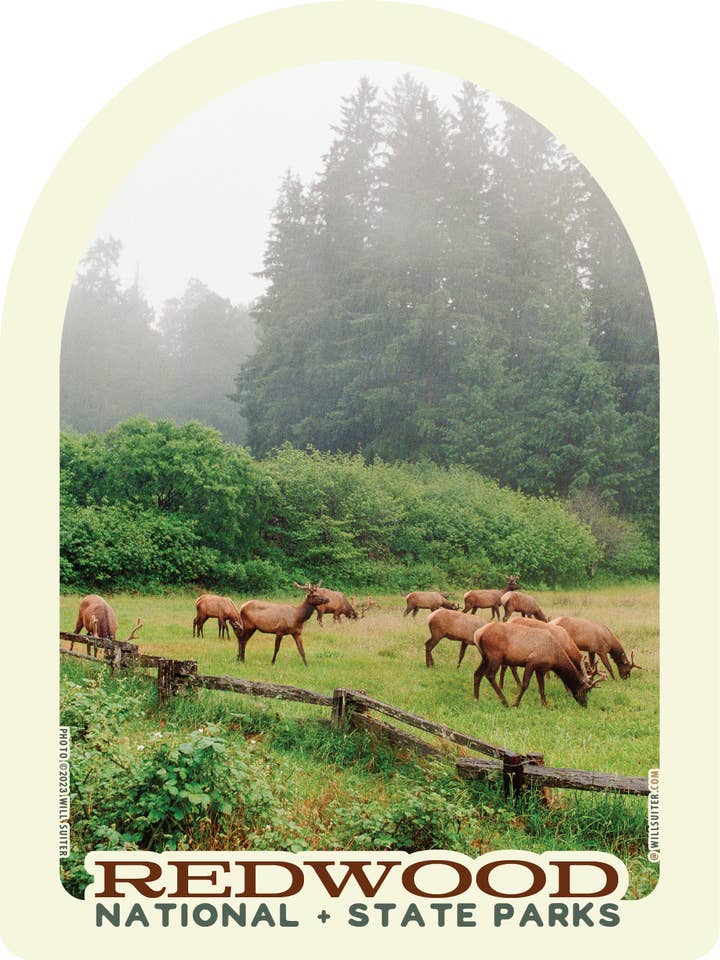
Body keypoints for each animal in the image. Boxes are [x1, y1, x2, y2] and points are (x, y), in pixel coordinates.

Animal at [472, 620, 606, 708]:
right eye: (584, 690)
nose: (585, 704)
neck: (554, 655)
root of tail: (478, 634)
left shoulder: (540, 668)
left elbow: (542, 686)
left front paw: (545, 703)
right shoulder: (531, 662)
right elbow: (525, 685)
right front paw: (516, 703)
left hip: (485, 657)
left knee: (477, 673)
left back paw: (476, 699)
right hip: (495, 656)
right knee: (489, 675)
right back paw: (504, 701)